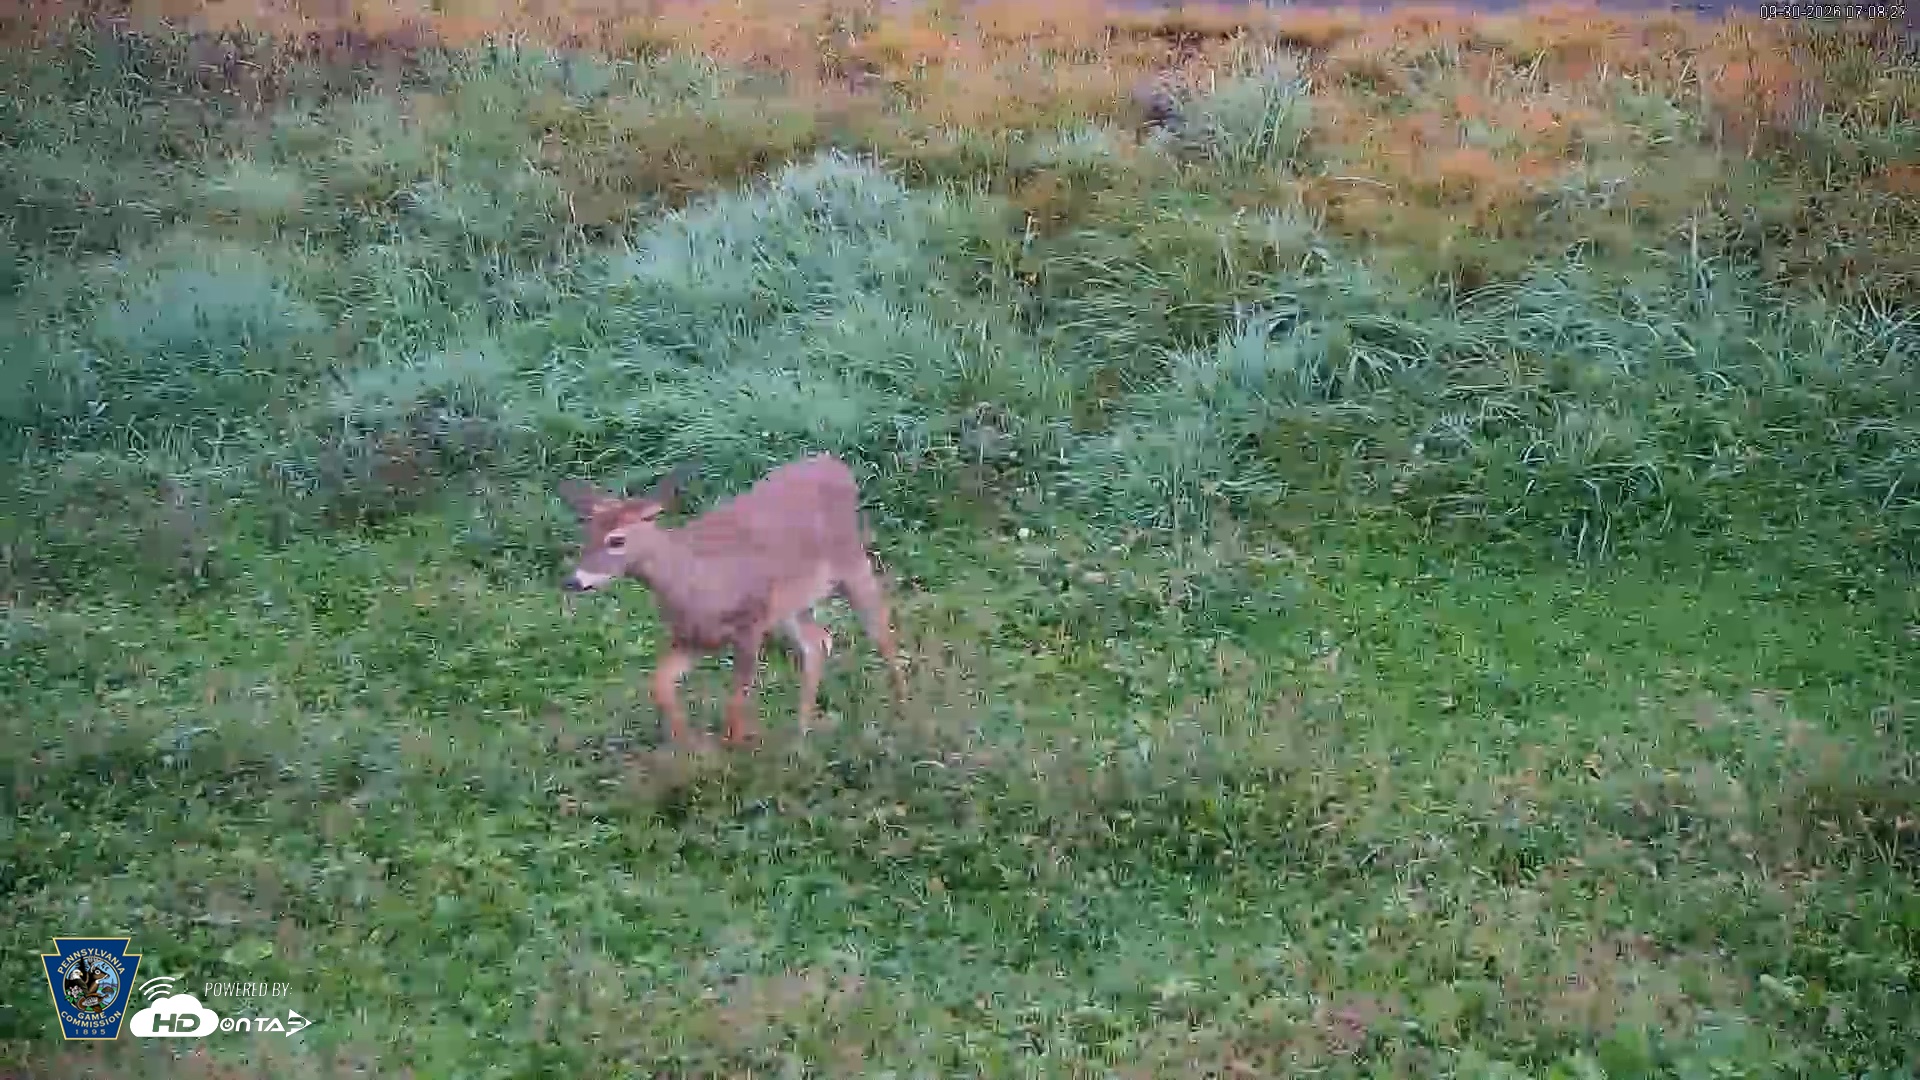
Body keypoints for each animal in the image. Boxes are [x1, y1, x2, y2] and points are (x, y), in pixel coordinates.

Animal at [557, 454, 909, 748]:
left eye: (617, 540)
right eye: (587, 534)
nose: (573, 581)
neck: (695, 582)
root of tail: (836, 464)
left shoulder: (749, 625)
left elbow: (735, 702)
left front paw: (735, 755)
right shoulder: (691, 637)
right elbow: (660, 683)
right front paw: (689, 745)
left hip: (851, 561)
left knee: (881, 628)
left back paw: (900, 713)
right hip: (790, 604)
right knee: (818, 640)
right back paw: (801, 734)